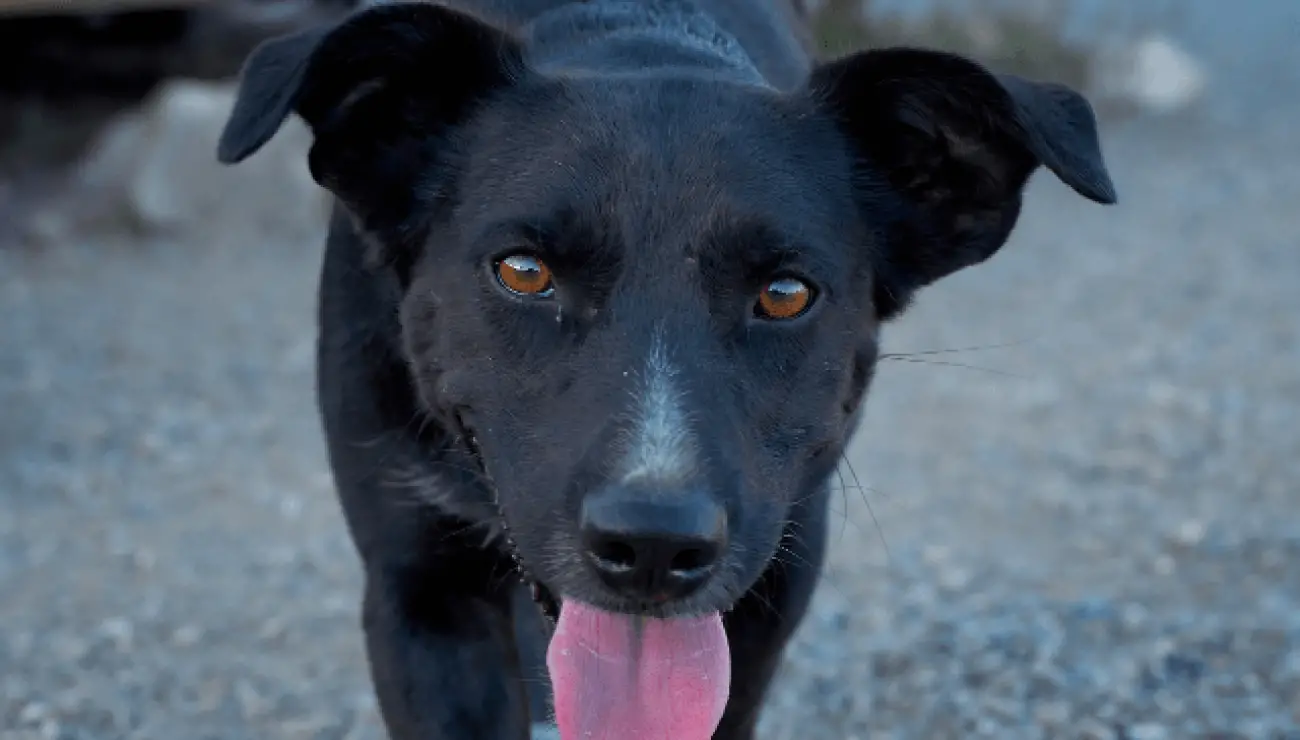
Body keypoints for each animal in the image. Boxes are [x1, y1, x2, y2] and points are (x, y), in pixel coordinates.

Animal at [218, 0, 1112, 733]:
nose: (652, 545)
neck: (634, 36)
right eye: (523, 271)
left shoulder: (775, 578)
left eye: (785, 293)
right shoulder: (417, 594)